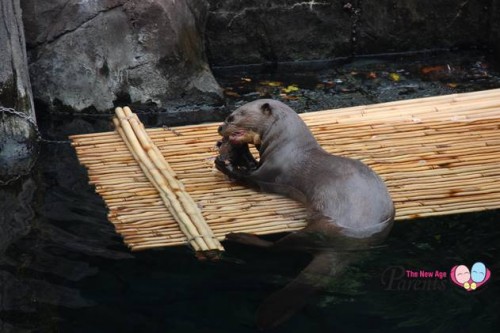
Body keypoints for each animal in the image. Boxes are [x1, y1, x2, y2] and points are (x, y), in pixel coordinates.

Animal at [215, 98, 394, 326]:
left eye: (232, 117)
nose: (220, 128)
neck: (287, 145)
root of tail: (349, 246)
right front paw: (242, 156)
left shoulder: (271, 173)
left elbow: (250, 178)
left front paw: (225, 165)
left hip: (319, 229)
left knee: (277, 247)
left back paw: (238, 236)